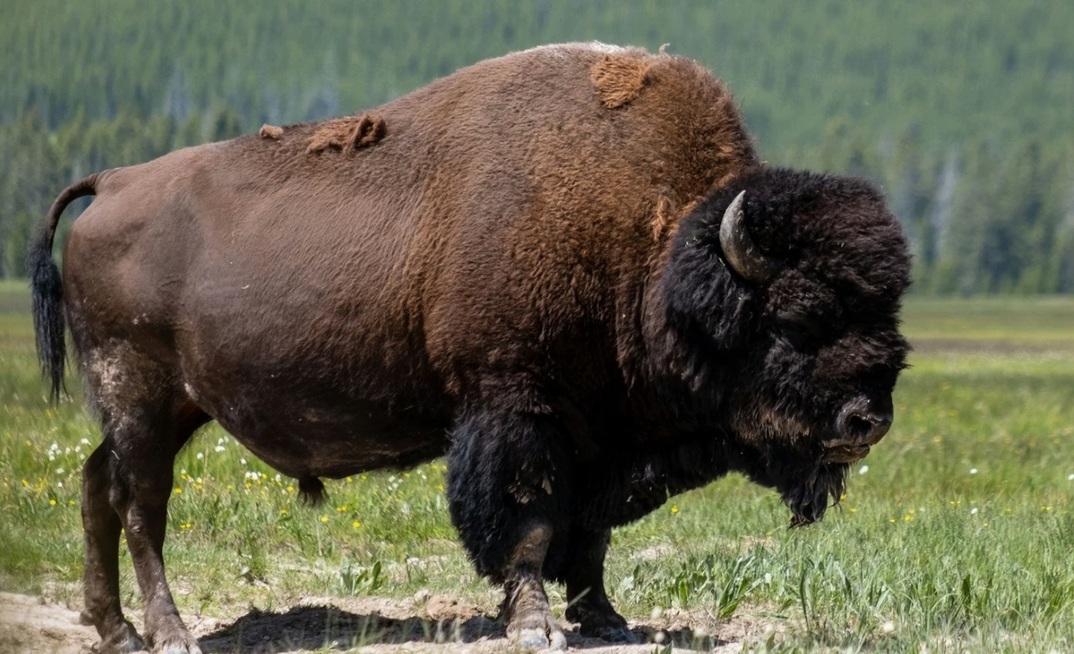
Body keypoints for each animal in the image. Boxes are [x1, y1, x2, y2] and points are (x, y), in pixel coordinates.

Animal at [30, 43, 910, 652]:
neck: (656, 254)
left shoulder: (603, 435)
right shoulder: (516, 409)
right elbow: (530, 524)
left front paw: (605, 618)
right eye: (795, 319)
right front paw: (534, 625)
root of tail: (112, 184)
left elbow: (591, 535)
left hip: (169, 407)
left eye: (888, 309)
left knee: (96, 484)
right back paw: (169, 633)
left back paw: (113, 629)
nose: (867, 420)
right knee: (140, 505)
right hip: (139, 392)